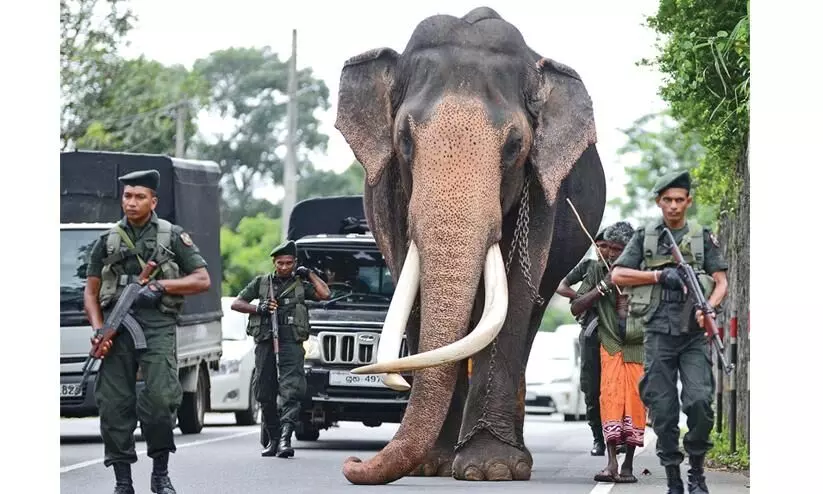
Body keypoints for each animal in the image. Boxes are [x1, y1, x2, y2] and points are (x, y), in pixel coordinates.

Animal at [332, 5, 608, 486]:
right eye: (404, 140)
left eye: (515, 145)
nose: (352, 464)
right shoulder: (389, 193)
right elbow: (413, 292)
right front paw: (432, 466)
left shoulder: (543, 190)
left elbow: (517, 292)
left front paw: (491, 468)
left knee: (528, 318)